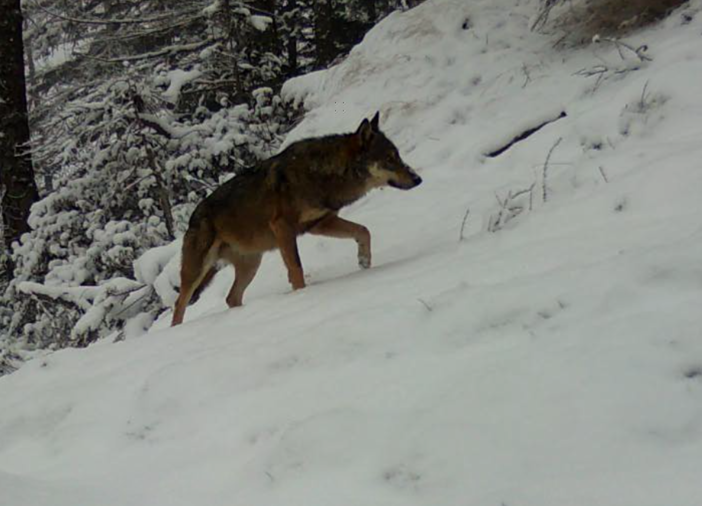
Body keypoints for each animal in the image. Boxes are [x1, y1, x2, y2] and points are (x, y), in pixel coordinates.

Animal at [170, 112, 424, 326]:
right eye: (389, 159)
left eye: (398, 156)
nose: (418, 179)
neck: (322, 175)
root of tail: (192, 217)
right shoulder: (283, 228)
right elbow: (296, 268)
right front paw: (302, 296)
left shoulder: (321, 223)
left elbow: (364, 230)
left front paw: (364, 261)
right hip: (198, 271)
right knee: (179, 303)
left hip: (251, 265)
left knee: (231, 297)